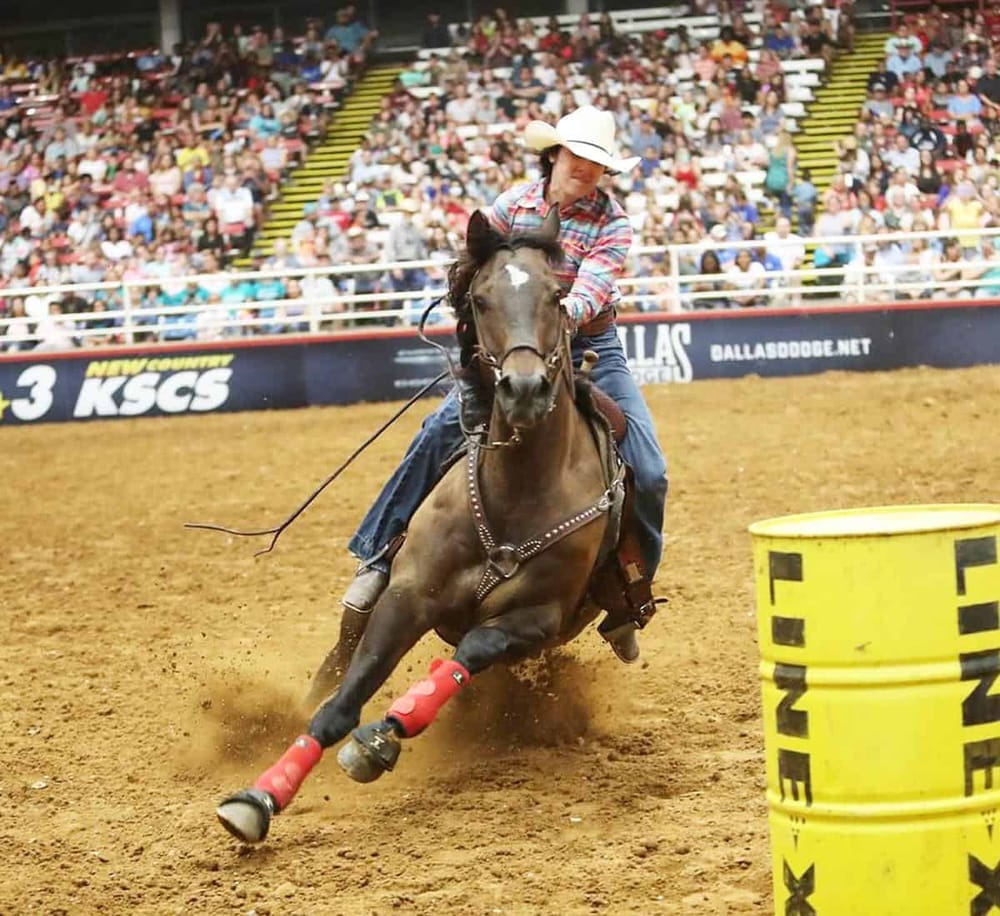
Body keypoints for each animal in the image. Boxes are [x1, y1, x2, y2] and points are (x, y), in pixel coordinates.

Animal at [216, 206, 630, 844]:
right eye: (480, 299)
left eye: (558, 295)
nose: (525, 389)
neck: (517, 493)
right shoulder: (408, 594)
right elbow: (342, 703)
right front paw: (260, 795)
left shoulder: (538, 619)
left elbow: (470, 653)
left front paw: (381, 738)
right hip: (373, 590)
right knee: (343, 647)